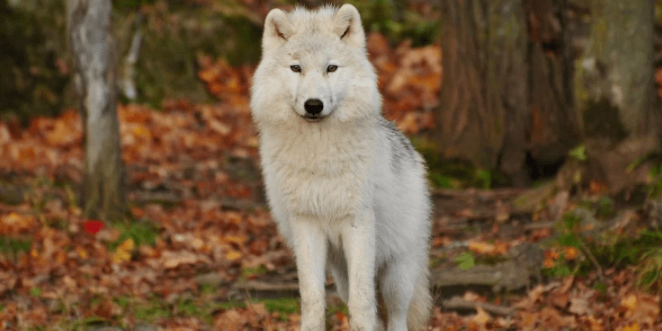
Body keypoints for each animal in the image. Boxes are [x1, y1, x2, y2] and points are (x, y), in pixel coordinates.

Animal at [252, 3, 434, 331]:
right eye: (296, 68)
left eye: (331, 68)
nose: (313, 105)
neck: (319, 156)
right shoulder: (306, 224)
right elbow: (312, 298)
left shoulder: (357, 223)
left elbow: (362, 305)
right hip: (341, 274)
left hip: (396, 274)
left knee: (395, 316)